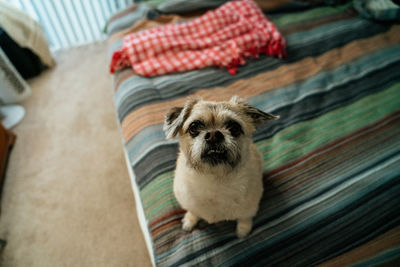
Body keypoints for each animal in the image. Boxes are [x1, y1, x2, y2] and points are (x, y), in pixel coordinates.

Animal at [162, 95, 278, 238]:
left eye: (234, 127)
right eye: (194, 127)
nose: (213, 135)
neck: (214, 179)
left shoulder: (250, 207)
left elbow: (244, 218)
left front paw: (243, 231)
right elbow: (193, 212)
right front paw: (189, 221)